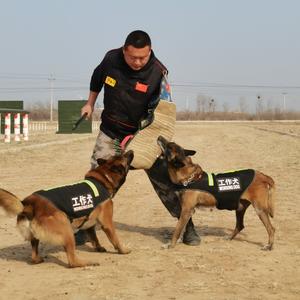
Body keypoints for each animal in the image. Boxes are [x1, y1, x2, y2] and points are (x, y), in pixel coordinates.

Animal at [0, 150, 134, 268]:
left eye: (121, 155)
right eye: (124, 157)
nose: (131, 150)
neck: (104, 178)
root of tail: (28, 204)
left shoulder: (90, 225)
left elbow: (94, 238)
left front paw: (99, 248)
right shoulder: (107, 223)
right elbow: (115, 239)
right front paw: (123, 250)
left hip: (36, 236)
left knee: (34, 254)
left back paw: (38, 259)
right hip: (67, 229)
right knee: (72, 261)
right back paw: (87, 263)